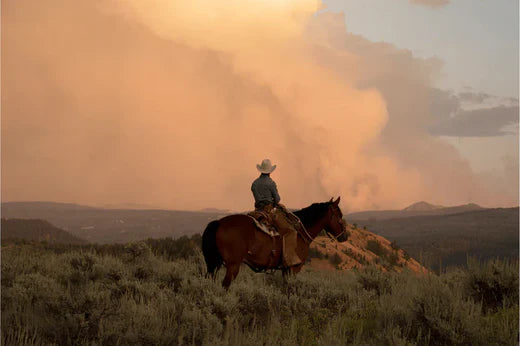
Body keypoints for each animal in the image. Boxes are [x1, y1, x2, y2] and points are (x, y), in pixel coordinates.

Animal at [203, 196, 350, 288]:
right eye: (340, 215)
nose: (345, 236)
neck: (300, 232)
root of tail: (219, 223)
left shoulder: (286, 269)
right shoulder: (294, 268)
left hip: (214, 264)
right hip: (233, 265)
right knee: (225, 285)